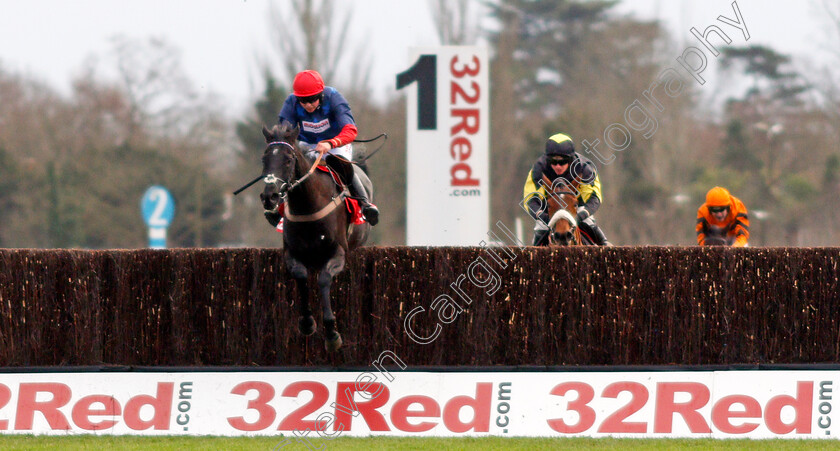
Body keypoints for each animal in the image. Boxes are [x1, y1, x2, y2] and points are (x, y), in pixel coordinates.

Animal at [260, 122, 370, 352]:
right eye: (264, 159)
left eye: (288, 159)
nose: (269, 197)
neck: (308, 205)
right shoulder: (292, 253)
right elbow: (301, 276)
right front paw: (307, 322)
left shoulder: (338, 253)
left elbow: (324, 279)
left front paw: (331, 332)